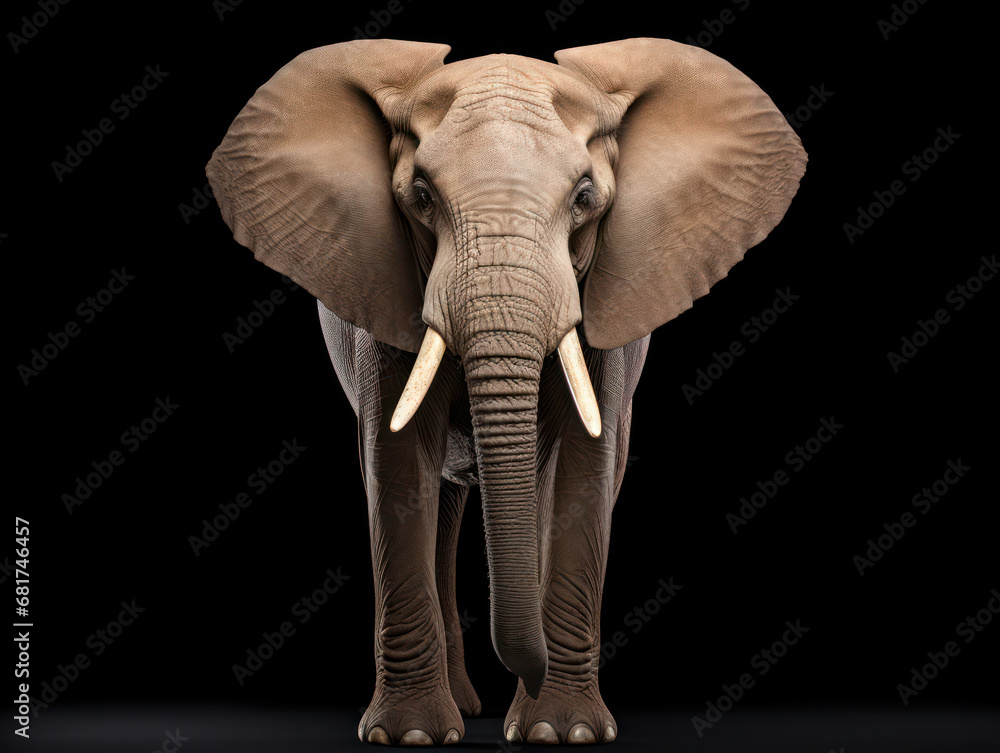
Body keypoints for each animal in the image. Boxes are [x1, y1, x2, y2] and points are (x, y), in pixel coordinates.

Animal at [206, 37, 806, 745]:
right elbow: (396, 466)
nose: (528, 665)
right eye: (420, 196)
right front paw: (410, 736)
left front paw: (560, 732)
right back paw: (463, 709)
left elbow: (580, 467)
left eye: (584, 197)